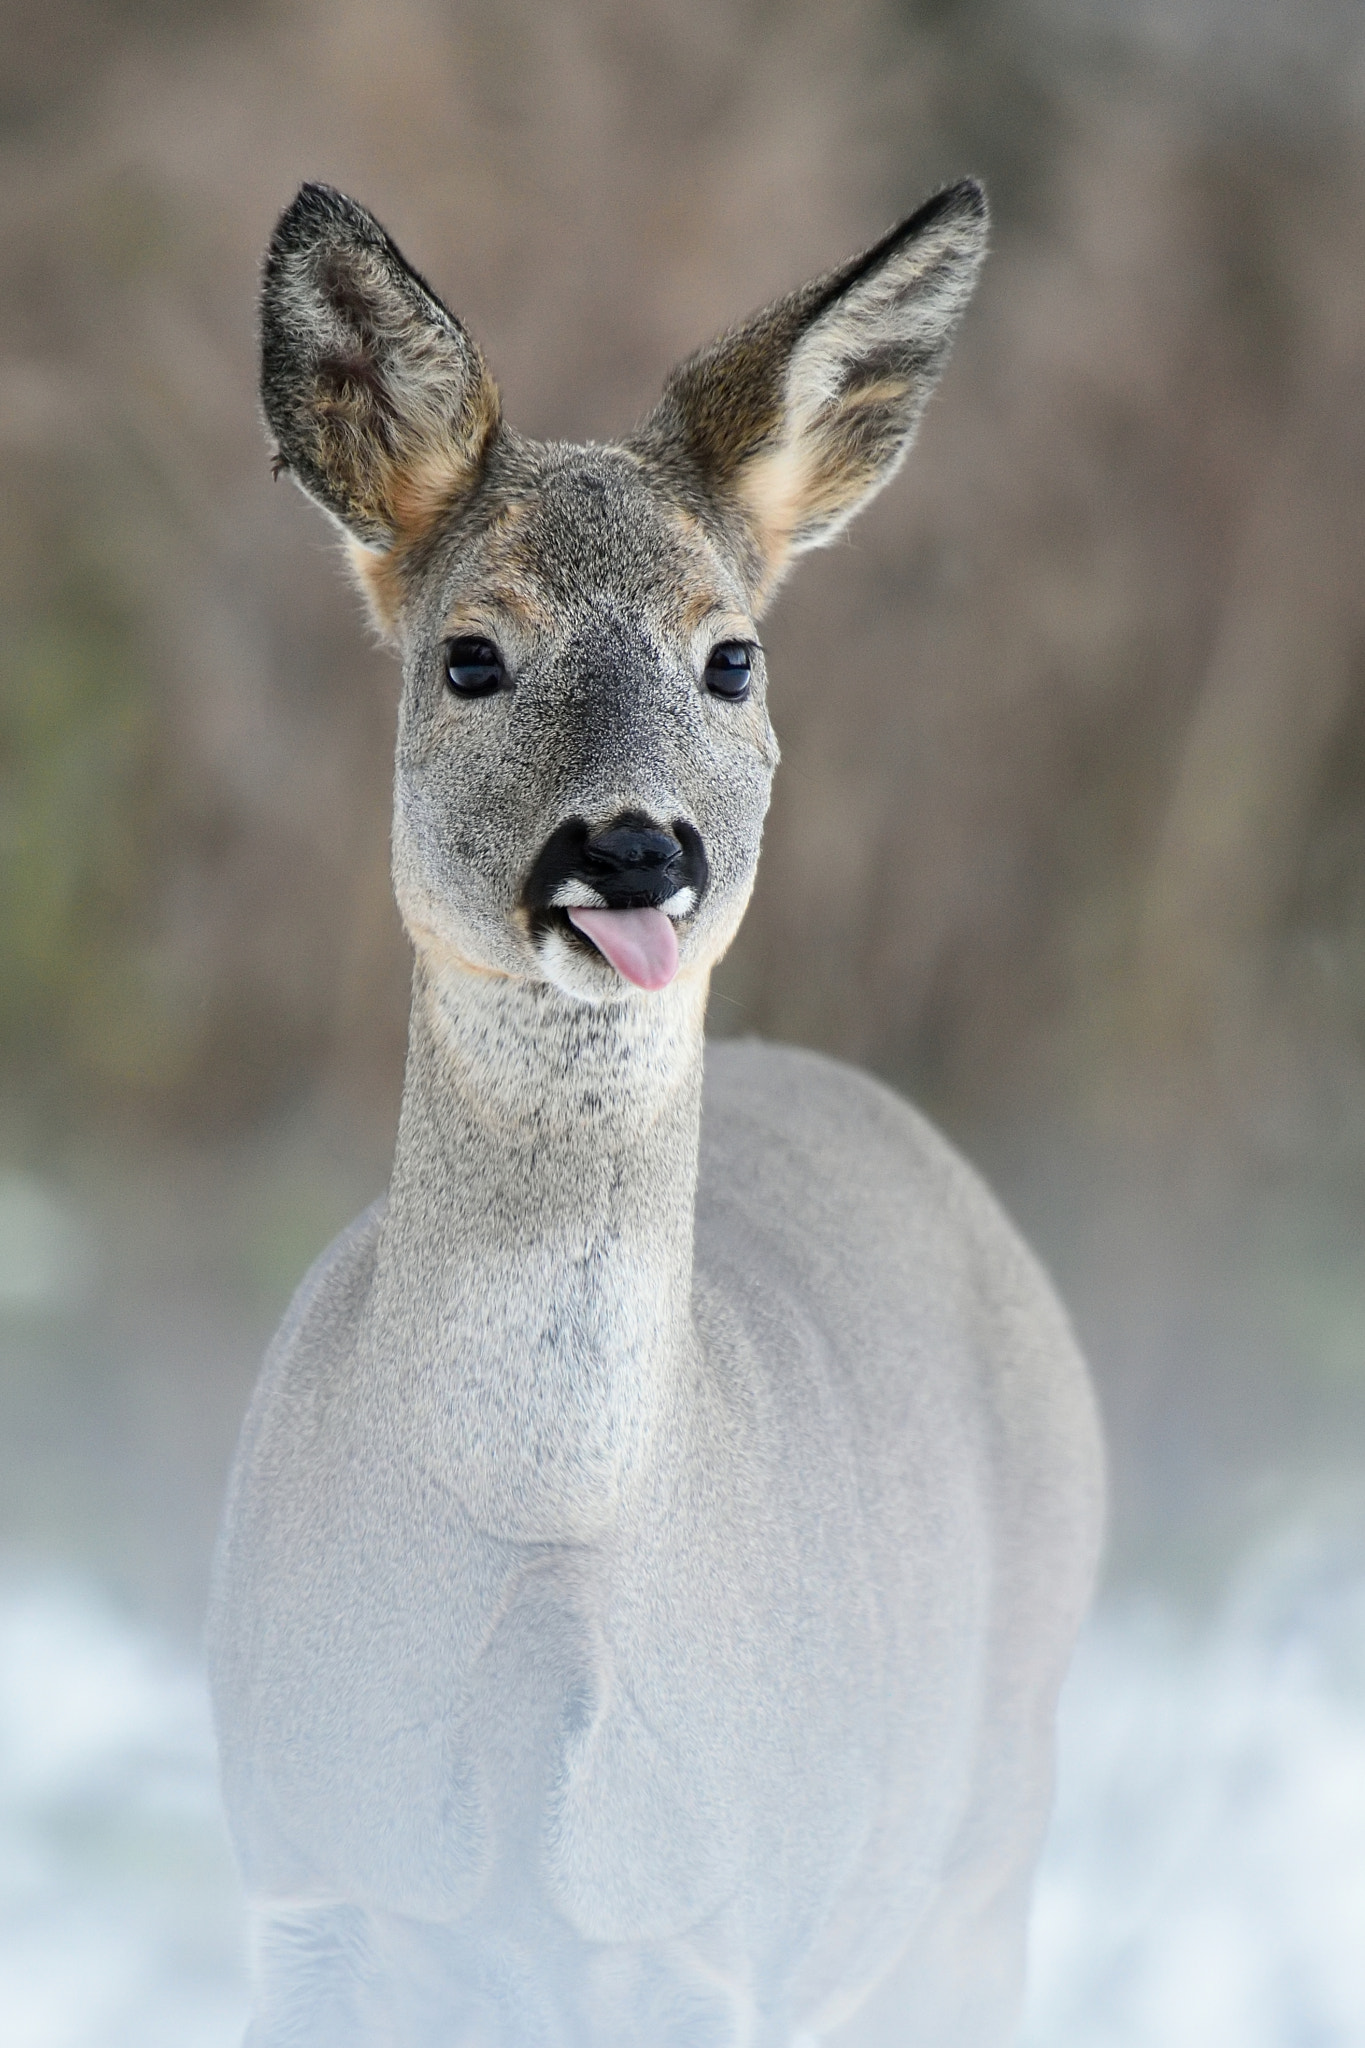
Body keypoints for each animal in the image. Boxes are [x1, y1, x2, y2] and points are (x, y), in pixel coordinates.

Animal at [213, 180, 1113, 2048]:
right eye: (471, 655)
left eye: (734, 656)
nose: (633, 848)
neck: (544, 1534)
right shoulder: (304, 1869)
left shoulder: (714, 1929)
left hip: (986, 1824)